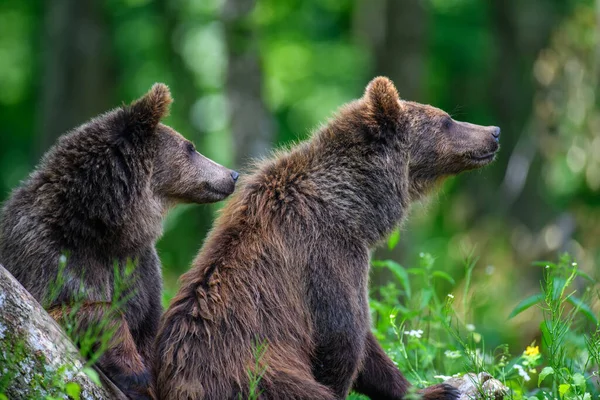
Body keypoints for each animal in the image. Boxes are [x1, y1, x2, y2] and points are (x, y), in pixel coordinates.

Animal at [0, 83, 239, 398]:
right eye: (190, 148)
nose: (232, 174)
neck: (102, 227)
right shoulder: (42, 253)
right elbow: (68, 307)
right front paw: (133, 372)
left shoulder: (140, 268)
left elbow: (150, 328)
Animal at [152, 76, 500, 398]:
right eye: (447, 120)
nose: (494, 131)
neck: (356, 205)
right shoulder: (328, 253)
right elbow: (346, 335)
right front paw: (436, 389)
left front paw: (432, 388)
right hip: (258, 375)